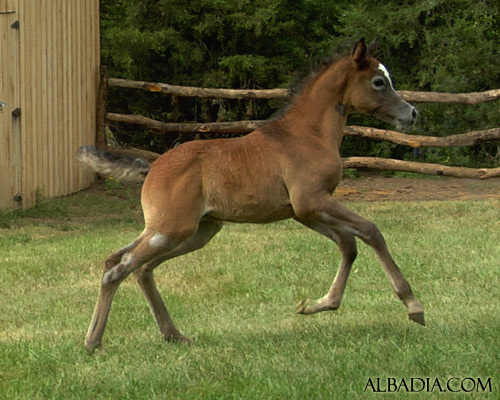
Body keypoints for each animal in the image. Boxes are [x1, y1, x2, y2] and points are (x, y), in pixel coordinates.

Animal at [80, 36, 424, 350]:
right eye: (379, 81)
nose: (411, 114)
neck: (308, 134)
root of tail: (152, 168)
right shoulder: (313, 202)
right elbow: (370, 231)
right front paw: (413, 305)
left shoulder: (304, 212)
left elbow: (348, 245)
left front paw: (315, 305)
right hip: (172, 229)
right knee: (121, 268)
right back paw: (93, 342)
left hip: (194, 232)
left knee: (133, 266)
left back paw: (173, 334)